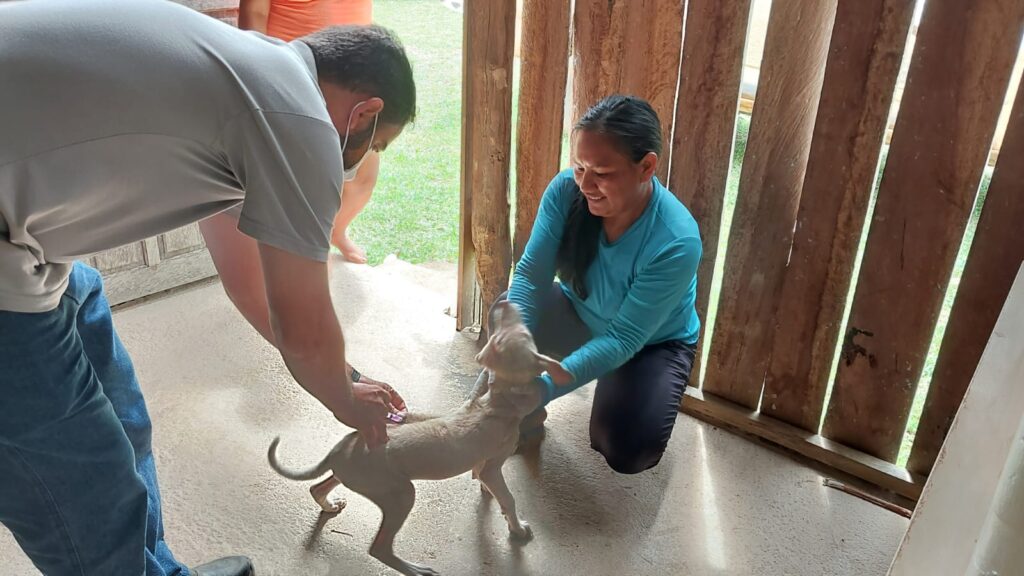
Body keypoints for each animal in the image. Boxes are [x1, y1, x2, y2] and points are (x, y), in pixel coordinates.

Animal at [268, 301, 557, 573]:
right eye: (525, 334)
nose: (504, 303)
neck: (495, 404)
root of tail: (338, 452)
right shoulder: (494, 467)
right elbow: (507, 498)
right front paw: (518, 529)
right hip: (401, 494)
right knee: (379, 548)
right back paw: (416, 569)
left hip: (355, 477)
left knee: (317, 487)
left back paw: (329, 505)